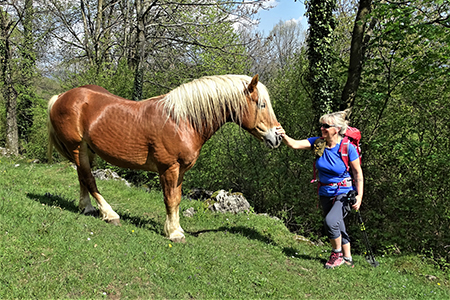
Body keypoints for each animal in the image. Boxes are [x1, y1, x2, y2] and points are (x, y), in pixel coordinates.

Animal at [47, 74, 280, 243]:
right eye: (261, 105)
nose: (277, 137)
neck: (182, 121)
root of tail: (62, 97)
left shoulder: (180, 171)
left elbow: (177, 199)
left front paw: (177, 228)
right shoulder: (169, 168)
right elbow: (170, 199)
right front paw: (174, 233)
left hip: (86, 151)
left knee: (82, 177)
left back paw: (86, 208)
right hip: (77, 148)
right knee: (89, 179)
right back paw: (110, 214)